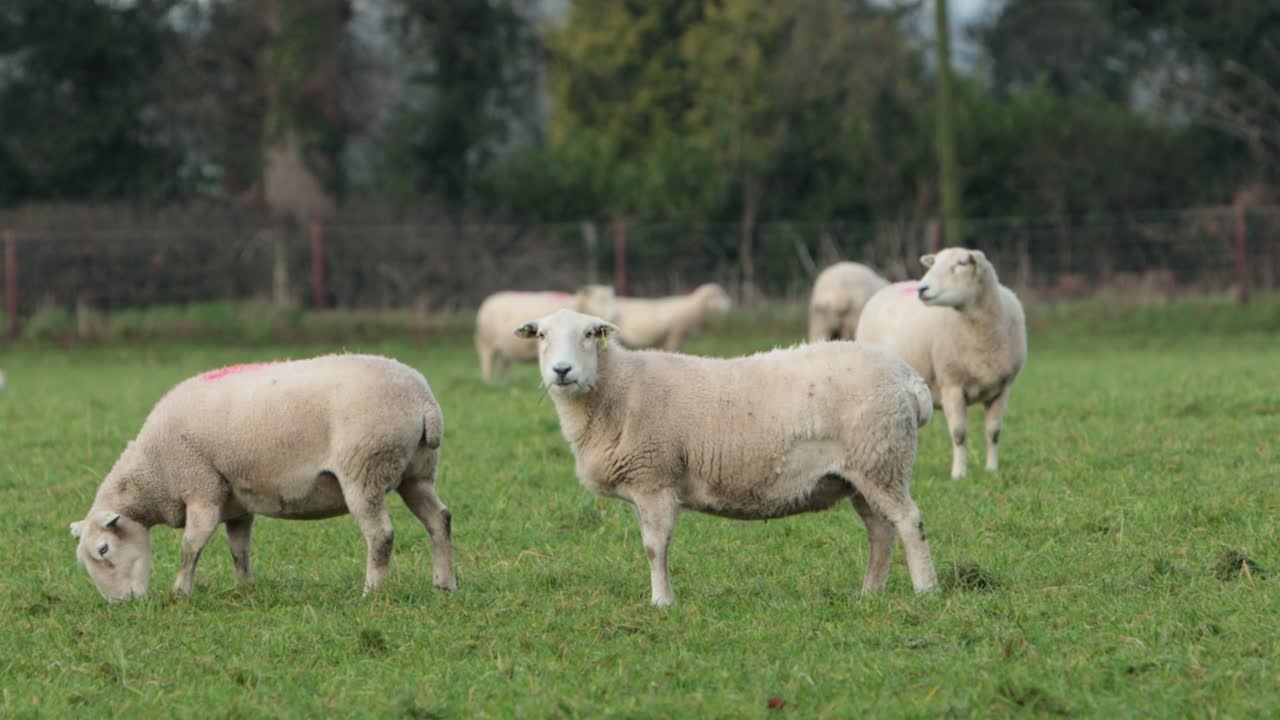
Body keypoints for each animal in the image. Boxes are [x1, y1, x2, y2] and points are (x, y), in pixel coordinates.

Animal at [68, 354, 456, 602]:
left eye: (104, 550)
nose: (121, 603)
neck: (155, 471)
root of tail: (424, 401)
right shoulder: (236, 505)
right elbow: (238, 549)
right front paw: (245, 588)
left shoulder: (202, 488)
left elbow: (190, 547)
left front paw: (180, 592)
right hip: (416, 474)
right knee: (440, 520)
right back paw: (445, 585)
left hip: (365, 469)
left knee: (381, 536)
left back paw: (371, 592)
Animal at [475, 284, 619, 383]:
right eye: (600, 300)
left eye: (612, 299)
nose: (615, 315)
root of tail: (490, 299)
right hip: (486, 340)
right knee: (486, 359)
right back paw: (487, 381)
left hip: (506, 346)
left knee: (503, 363)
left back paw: (501, 382)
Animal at [515, 309, 938, 606]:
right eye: (541, 335)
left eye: (589, 334)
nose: (562, 371)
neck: (613, 391)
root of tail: (909, 378)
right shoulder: (646, 482)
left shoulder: (655, 478)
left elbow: (654, 547)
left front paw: (661, 602)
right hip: (863, 470)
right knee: (881, 530)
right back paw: (870, 593)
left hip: (881, 458)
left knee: (908, 521)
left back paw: (926, 590)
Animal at [856, 248, 1027, 479]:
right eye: (933, 264)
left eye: (961, 263)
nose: (922, 289)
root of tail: (891, 285)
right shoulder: (951, 384)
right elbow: (959, 434)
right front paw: (959, 474)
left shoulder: (1003, 388)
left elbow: (994, 432)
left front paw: (992, 470)